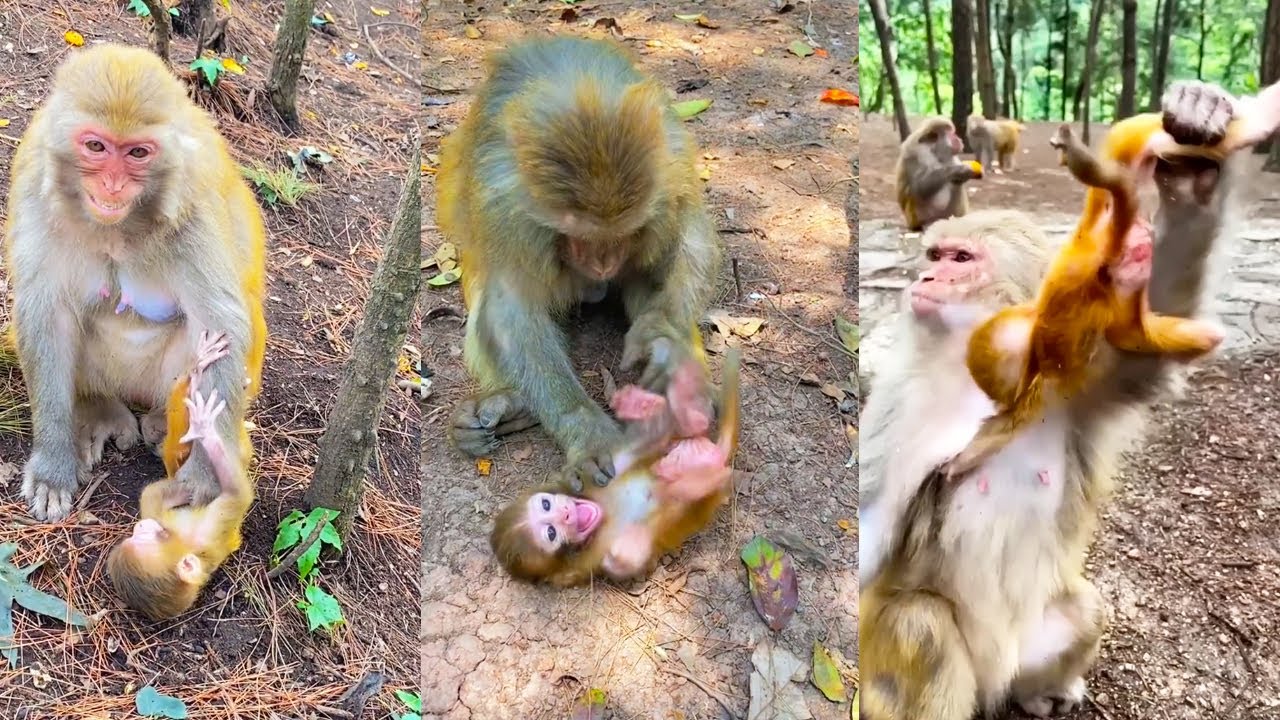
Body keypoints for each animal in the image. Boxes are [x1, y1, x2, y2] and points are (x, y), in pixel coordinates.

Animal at [4, 43, 268, 522]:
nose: (113, 185)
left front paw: (204, 480)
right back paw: (98, 407)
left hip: (160, 381)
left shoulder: (191, 208)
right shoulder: (34, 188)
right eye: (96, 146)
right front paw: (53, 464)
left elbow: (223, 327)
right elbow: (45, 314)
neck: (118, 228)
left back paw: (168, 422)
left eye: (138, 154)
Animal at [106, 330, 253, 619]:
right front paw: (206, 431)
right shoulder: (207, 533)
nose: (140, 527)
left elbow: (152, 495)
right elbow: (238, 495)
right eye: (138, 537)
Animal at [435, 35, 722, 492]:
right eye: (582, 238)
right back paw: (510, 406)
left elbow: (693, 243)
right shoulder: (505, 209)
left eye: (620, 236)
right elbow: (512, 309)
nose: (603, 269)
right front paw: (585, 430)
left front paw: (663, 347)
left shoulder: (670, 176)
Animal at [489, 349, 739, 588]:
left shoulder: (597, 478)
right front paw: (682, 487)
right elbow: (624, 560)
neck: (603, 510)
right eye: (551, 532)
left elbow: (632, 451)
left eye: (546, 504)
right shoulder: (588, 562)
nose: (566, 512)